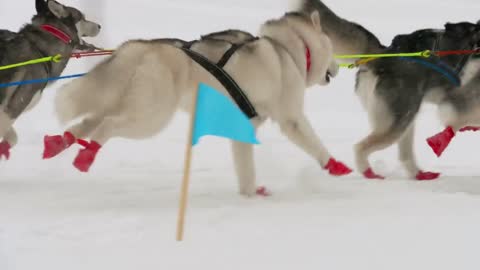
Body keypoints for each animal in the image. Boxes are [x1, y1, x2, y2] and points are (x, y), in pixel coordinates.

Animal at [0, 0, 100, 160]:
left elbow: (12, 136)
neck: (40, 50)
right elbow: (12, 136)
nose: (99, 26)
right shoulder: (14, 106)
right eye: (83, 18)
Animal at [45, 11, 352, 196]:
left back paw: (60, 143)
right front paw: (335, 164)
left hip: (129, 102)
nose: (338, 69)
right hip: (151, 116)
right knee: (106, 125)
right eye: (332, 51)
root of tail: (138, 47)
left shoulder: (243, 127)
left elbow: (246, 167)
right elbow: (312, 141)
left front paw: (250, 193)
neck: (288, 49)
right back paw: (85, 156)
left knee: (88, 121)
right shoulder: (291, 117)